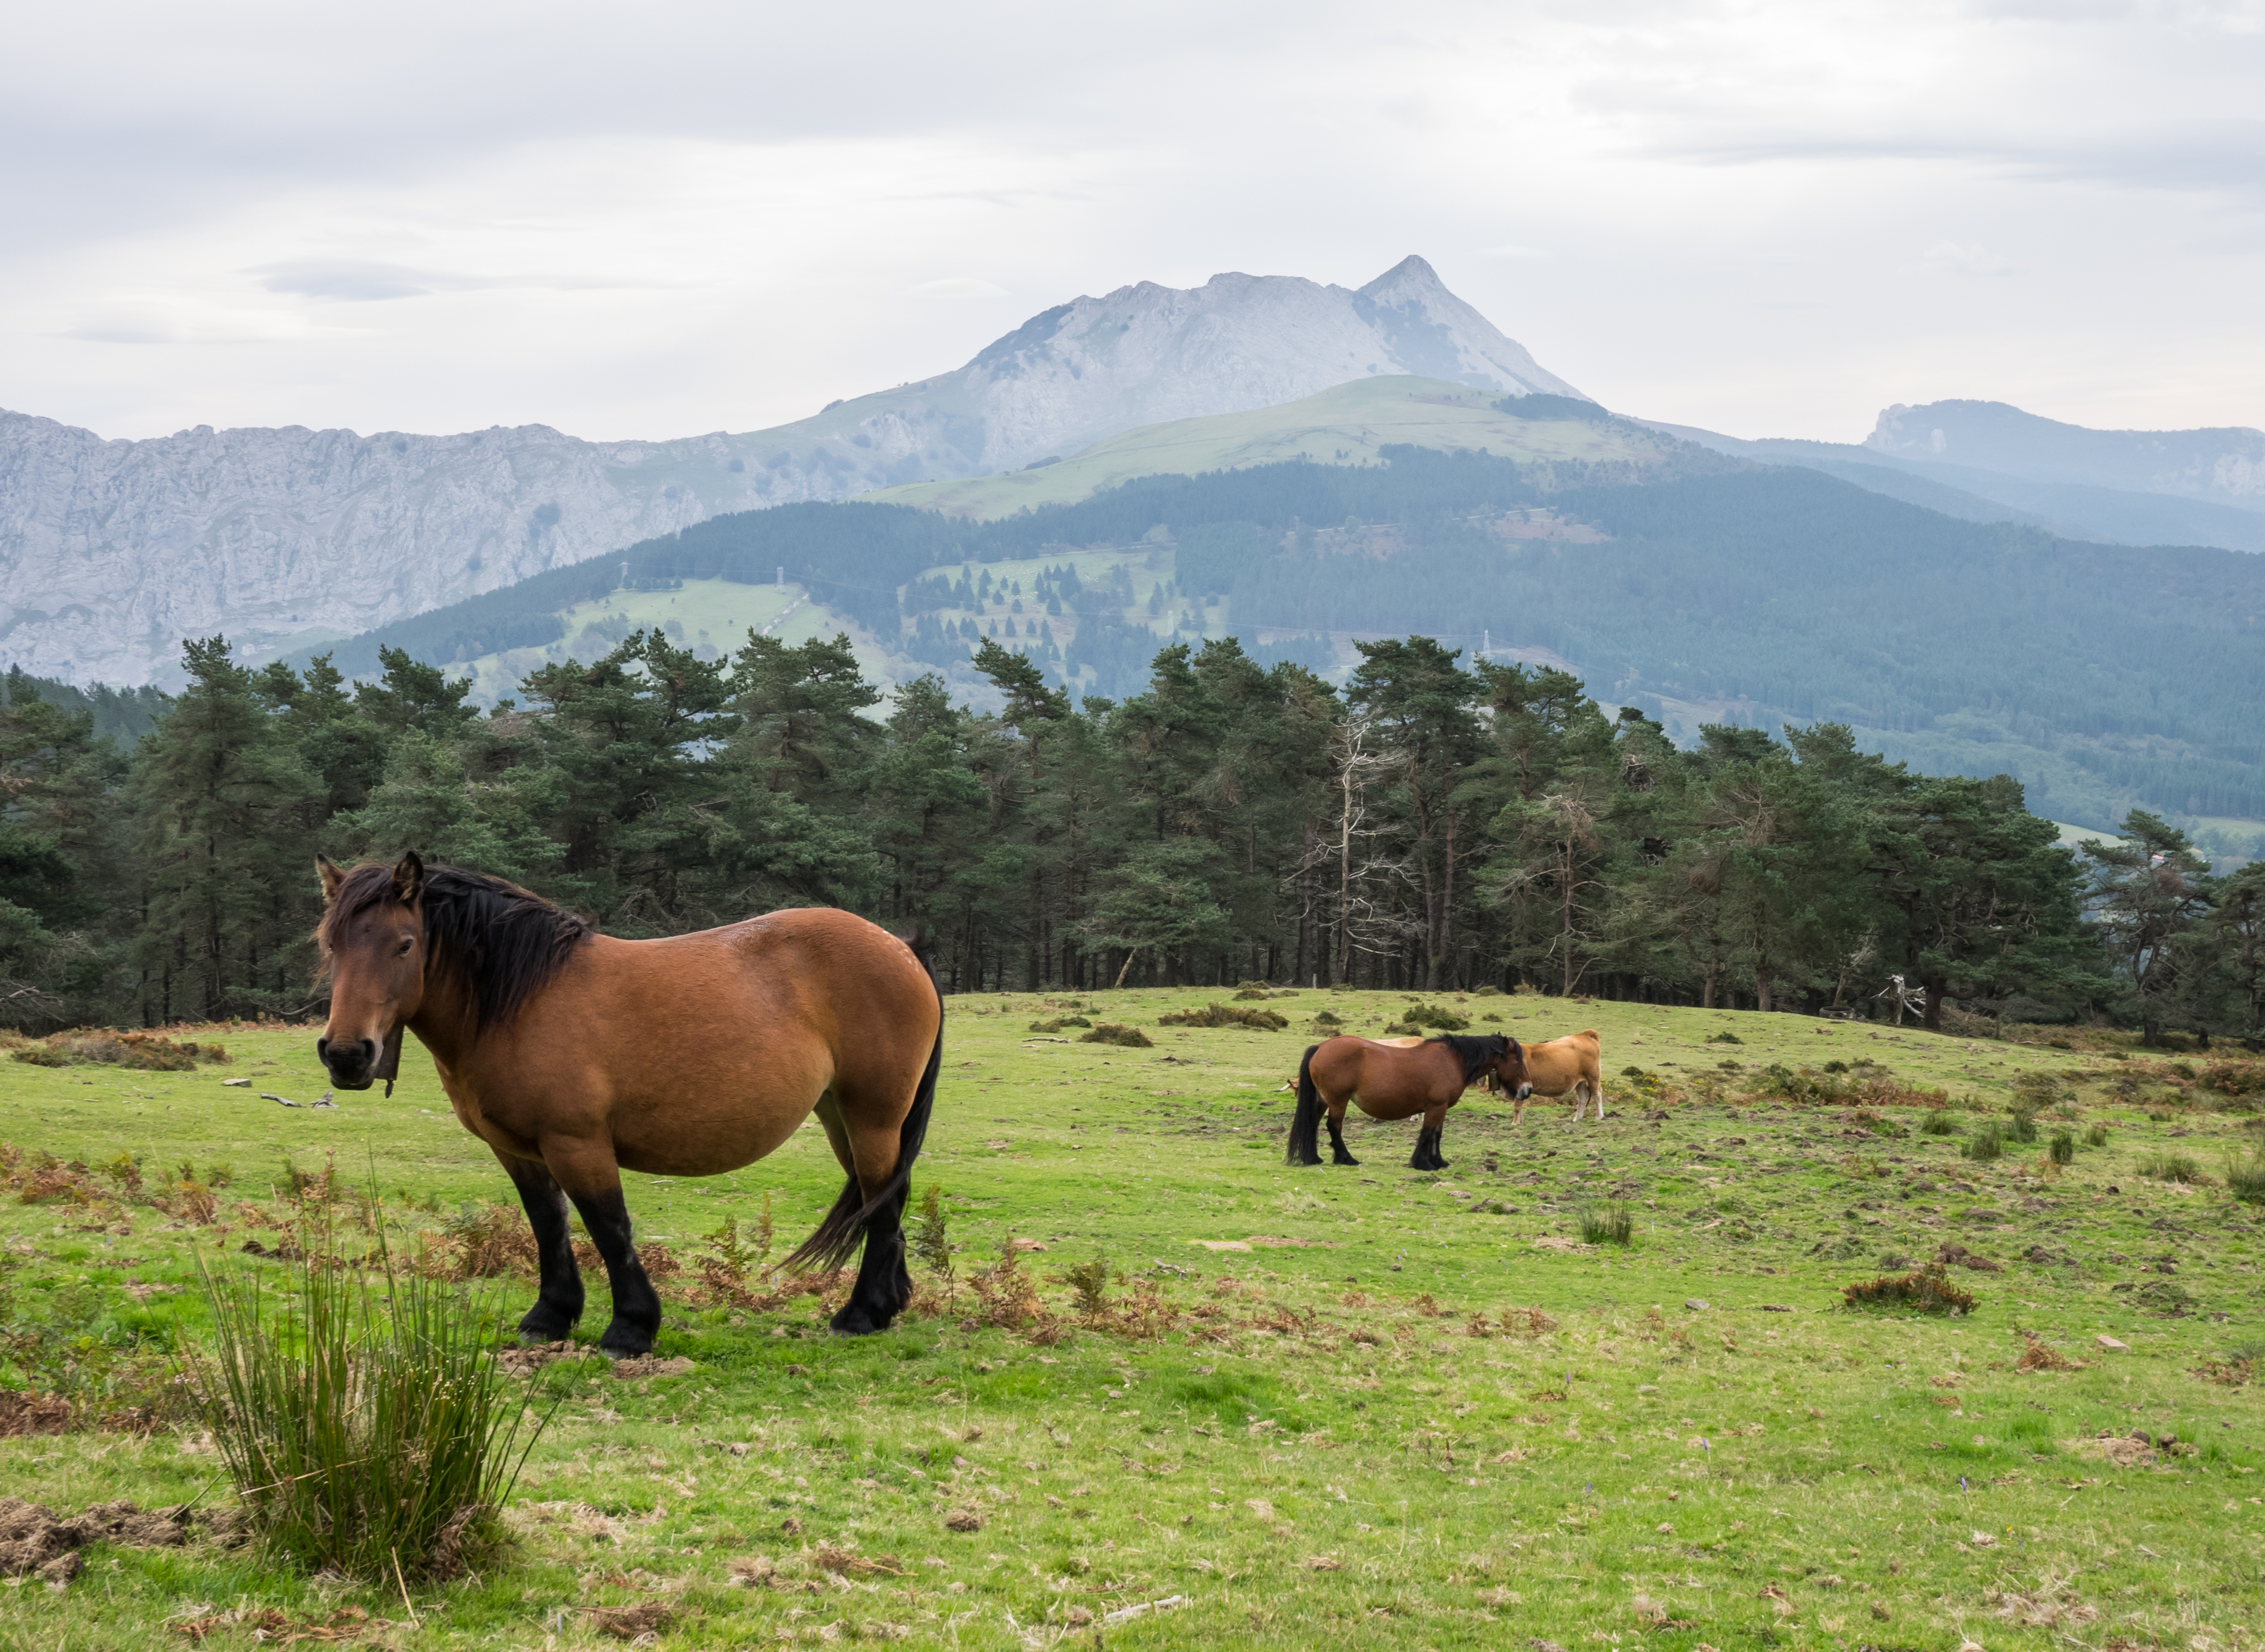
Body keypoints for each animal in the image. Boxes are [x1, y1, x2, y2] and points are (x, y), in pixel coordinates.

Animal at [313, 852, 943, 1352]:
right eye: (331, 945)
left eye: (405, 944)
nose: (346, 1054)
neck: (519, 1000)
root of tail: (901, 948)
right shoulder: (517, 1149)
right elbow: (548, 1224)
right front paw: (550, 1317)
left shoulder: (577, 1143)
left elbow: (608, 1226)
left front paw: (631, 1328)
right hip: (842, 1116)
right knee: (885, 1196)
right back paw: (889, 1304)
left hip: (872, 1116)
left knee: (882, 1203)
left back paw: (860, 1314)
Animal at [1286, 1034, 1532, 1171]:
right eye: (1518, 1062)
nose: (1528, 1090)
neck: (1453, 1061)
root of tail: (1321, 1047)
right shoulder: (1436, 1107)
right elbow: (1428, 1133)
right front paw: (1424, 1164)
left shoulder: (1441, 1109)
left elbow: (1437, 1135)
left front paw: (1439, 1162)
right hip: (1338, 1101)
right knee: (1334, 1127)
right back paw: (1346, 1159)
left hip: (1323, 1101)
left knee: (1313, 1124)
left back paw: (1313, 1158)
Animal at [1510, 1029, 1605, 1123]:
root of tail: (1584, 1034)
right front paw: (1520, 1122)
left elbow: (1517, 1106)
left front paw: (1515, 1123)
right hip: (1580, 1081)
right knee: (1583, 1096)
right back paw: (1577, 1119)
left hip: (1593, 1075)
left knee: (1597, 1094)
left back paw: (1599, 1117)